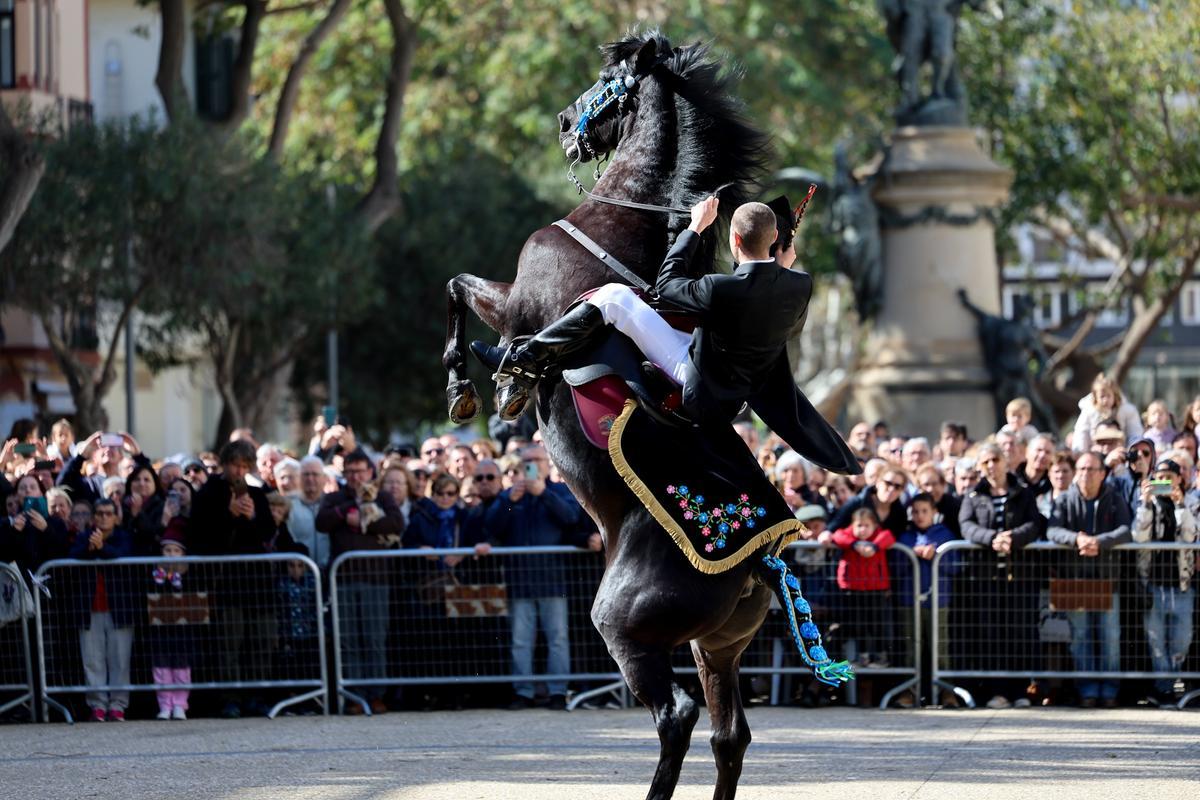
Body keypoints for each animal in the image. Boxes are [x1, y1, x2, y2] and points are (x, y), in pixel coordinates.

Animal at [443, 32, 777, 800]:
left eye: (606, 79)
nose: (567, 123)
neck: (621, 223)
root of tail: (758, 563)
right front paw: (499, 383)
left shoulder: (515, 301)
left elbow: (456, 288)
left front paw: (472, 384)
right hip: (717, 647)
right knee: (729, 736)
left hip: (627, 632)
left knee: (676, 716)